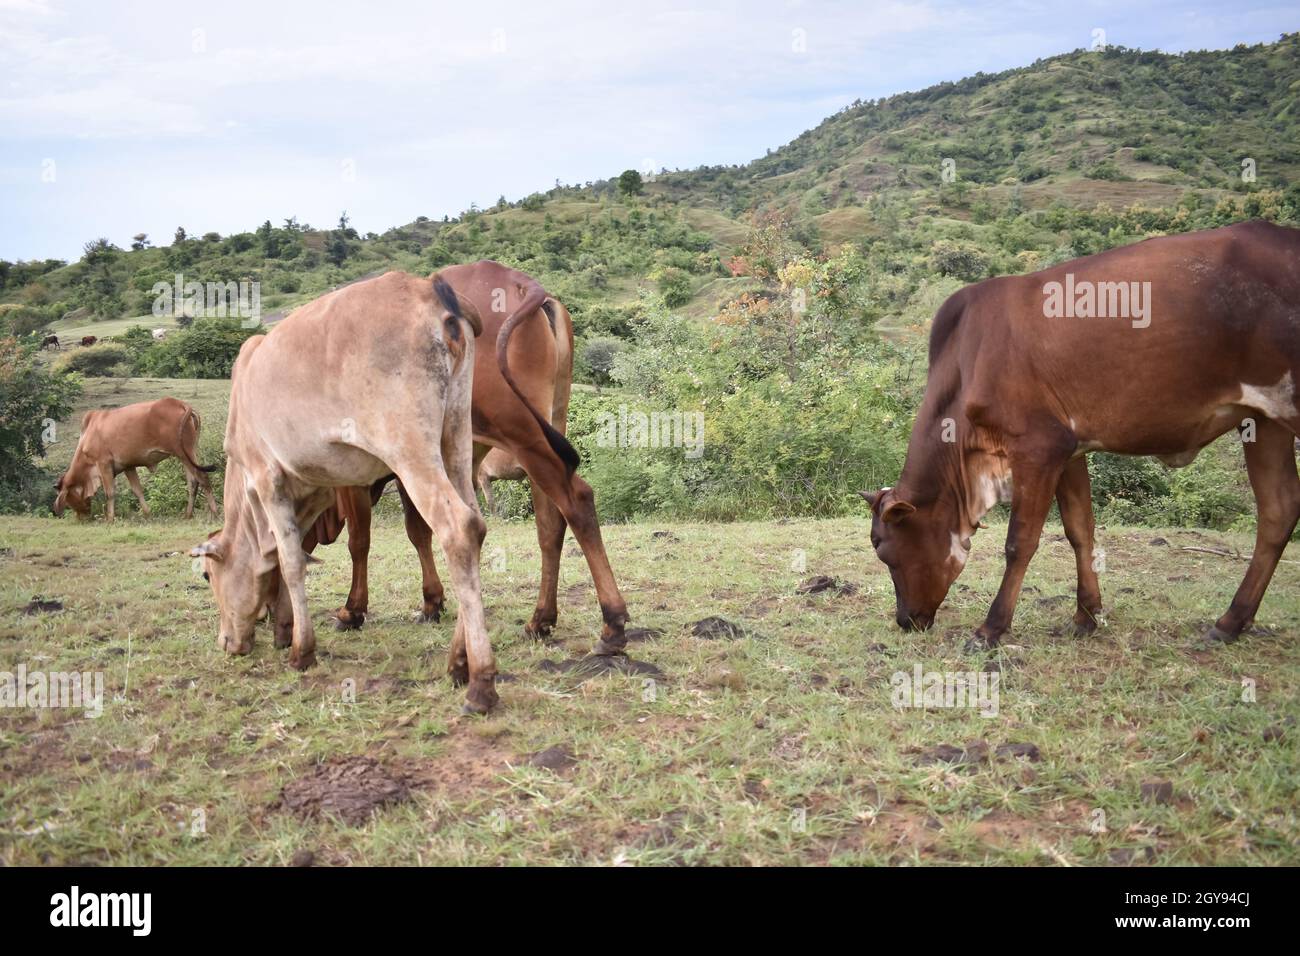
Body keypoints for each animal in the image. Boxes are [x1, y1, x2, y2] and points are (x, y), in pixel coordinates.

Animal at [53, 397, 218, 521]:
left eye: (68, 499)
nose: (81, 518)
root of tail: (180, 404)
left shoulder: (103, 463)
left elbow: (110, 493)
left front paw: (110, 518)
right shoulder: (128, 466)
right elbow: (137, 490)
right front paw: (147, 514)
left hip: (183, 452)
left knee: (203, 477)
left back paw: (214, 512)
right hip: (187, 455)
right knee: (193, 482)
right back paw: (188, 514)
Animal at [191, 272, 505, 713]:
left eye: (206, 575)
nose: (227, 642)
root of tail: (429, 289)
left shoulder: (268, 477)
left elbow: (290, 561)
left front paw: (301, 650)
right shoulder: (321, 486)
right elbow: (296, 553)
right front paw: (285, 629)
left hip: (410, 449)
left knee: (458, 529)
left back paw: (480, 683)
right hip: (455, 438)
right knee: (476, 524)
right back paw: (458, 661)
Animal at [277, 262, 631, 657]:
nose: (275, 628)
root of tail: (522, 282)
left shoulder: (358, 476)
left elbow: (360, 541)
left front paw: (352, 610)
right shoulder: (409, 468)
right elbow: (418, 532)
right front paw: (432, 602)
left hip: (519, 430)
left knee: (577, 499)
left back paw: (612, 623)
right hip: (548, 422)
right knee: (549, 523)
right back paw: (541, 619)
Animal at [864, 221, 1300, 650]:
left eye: (886, 552)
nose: (905, 620)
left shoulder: (1038, 447)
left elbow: (1020, 541)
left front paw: (991, 628)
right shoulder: (1069, 450)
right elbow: (1079, 530)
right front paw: (1086, 615)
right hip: (1264, 420)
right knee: (1278, 511)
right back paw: (1230, 622)